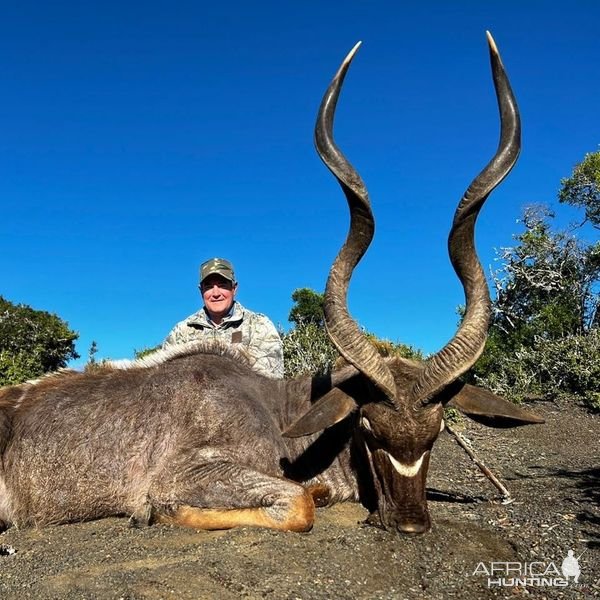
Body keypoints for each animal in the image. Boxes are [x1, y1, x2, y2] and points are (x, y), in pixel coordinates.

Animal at [0, 35, 544, 536]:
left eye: (436, 432)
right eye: (367, 425)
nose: (409, 523)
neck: (278, 411)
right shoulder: (185, 474)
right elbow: (297, 504)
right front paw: (154, 513)